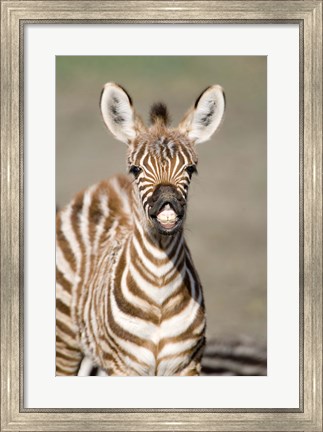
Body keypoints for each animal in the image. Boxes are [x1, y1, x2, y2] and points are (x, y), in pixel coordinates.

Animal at [55, 82, 227, 376]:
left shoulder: (188, 365)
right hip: (65, 339)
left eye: (190, 169)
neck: (159, 287)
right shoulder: (124, 367)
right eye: (135, 169)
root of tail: (107, 183)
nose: (167, 203)